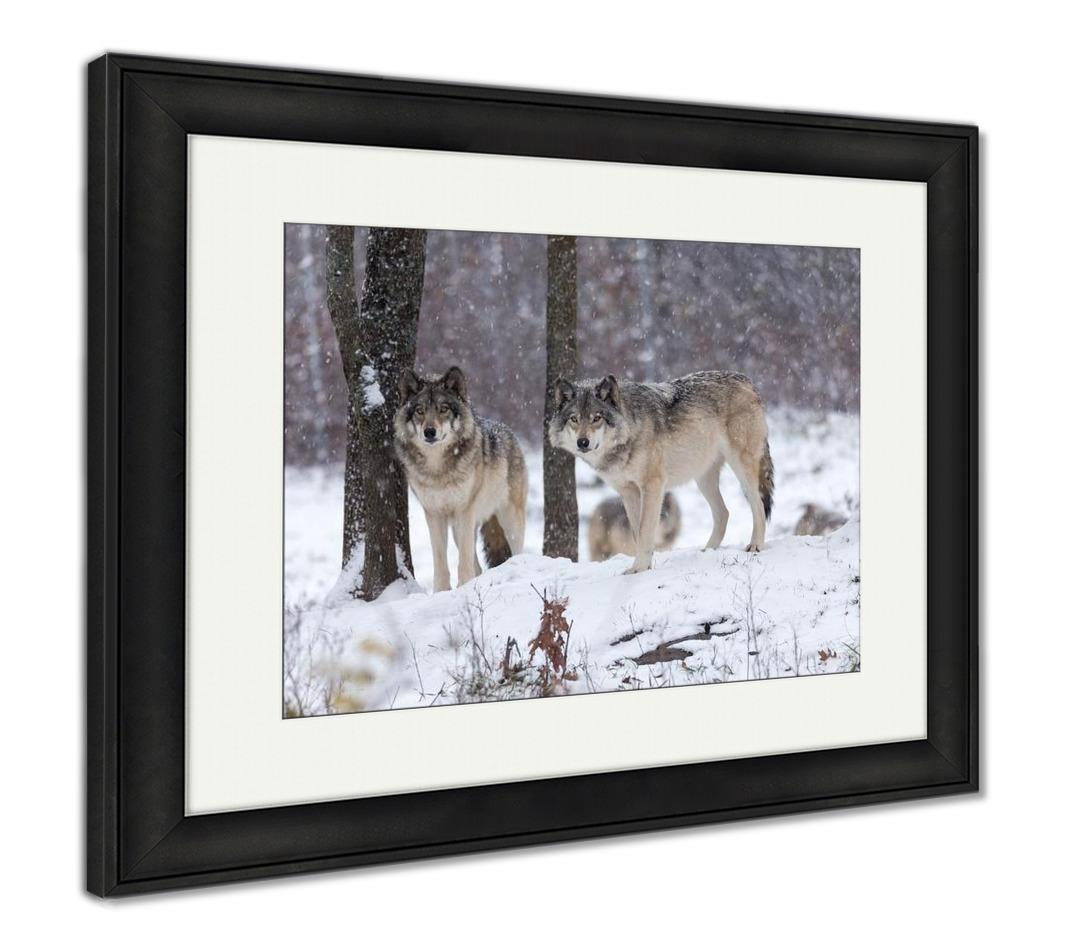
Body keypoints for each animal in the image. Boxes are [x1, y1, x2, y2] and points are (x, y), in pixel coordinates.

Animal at [394, 366, 528, 592]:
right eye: (420, 410)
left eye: (443, 409)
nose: (429, 432)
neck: (437, 469)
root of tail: (508, 431)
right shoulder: (433, 514)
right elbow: (440, 563)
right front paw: (442, 592)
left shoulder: (464, 511)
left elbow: (463, 563)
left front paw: (463, 587)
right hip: (460, 528)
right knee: (478, 567)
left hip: (508, 520)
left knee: (517, 553)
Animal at [549, 371, 774, 573]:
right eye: (574, 419)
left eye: (597, 418)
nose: (583, 442)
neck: (631, 431)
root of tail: (746, 380)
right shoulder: (628, 491)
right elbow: (637, 533)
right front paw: (645, 567)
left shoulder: (653, 486)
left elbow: (645, 530)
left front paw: (639, 569)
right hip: (703, 479)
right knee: (724, 513)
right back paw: (707, 551)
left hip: (741, 467)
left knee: (758, 506)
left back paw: (755, 545)